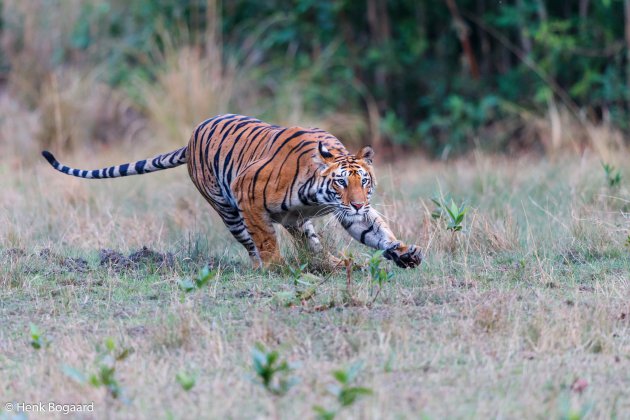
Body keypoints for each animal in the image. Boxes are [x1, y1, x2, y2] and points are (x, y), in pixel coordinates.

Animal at [40, 114, 424, 270]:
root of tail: (191, 137)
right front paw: (276, 267)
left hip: (298, 222)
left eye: (365, 182)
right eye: (340, 182)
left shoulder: (349, 214)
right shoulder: (248, 196)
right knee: (250, 243)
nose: (357, 204)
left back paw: (333, 262)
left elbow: (377, 232)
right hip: (228, 210)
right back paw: (264, 266)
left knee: (311, 244)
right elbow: (265, 239)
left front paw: (404, 252)